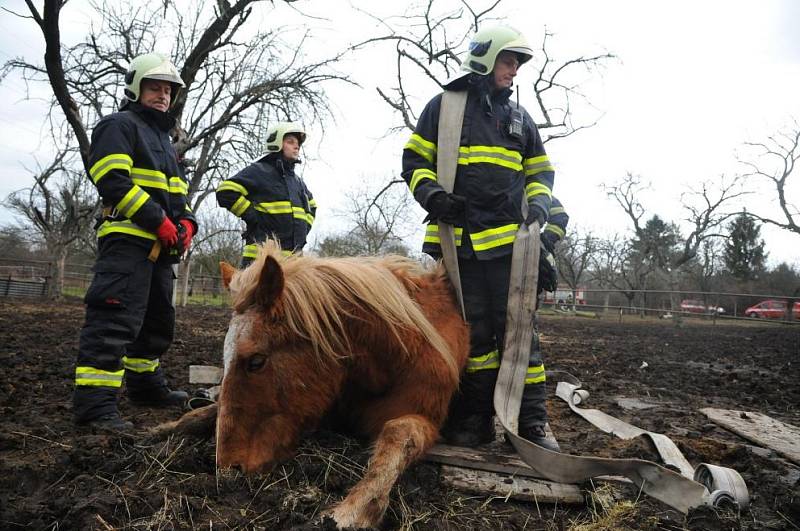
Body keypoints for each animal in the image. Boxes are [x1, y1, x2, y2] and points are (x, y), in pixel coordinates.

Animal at [152, 243, 468, 528]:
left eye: (256, 361)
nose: (229, 469)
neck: (397, 354)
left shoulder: (425, 418)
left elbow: (397, 435)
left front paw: (353, 511)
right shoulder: (326, 402)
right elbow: (208, 412)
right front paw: (166, 428)